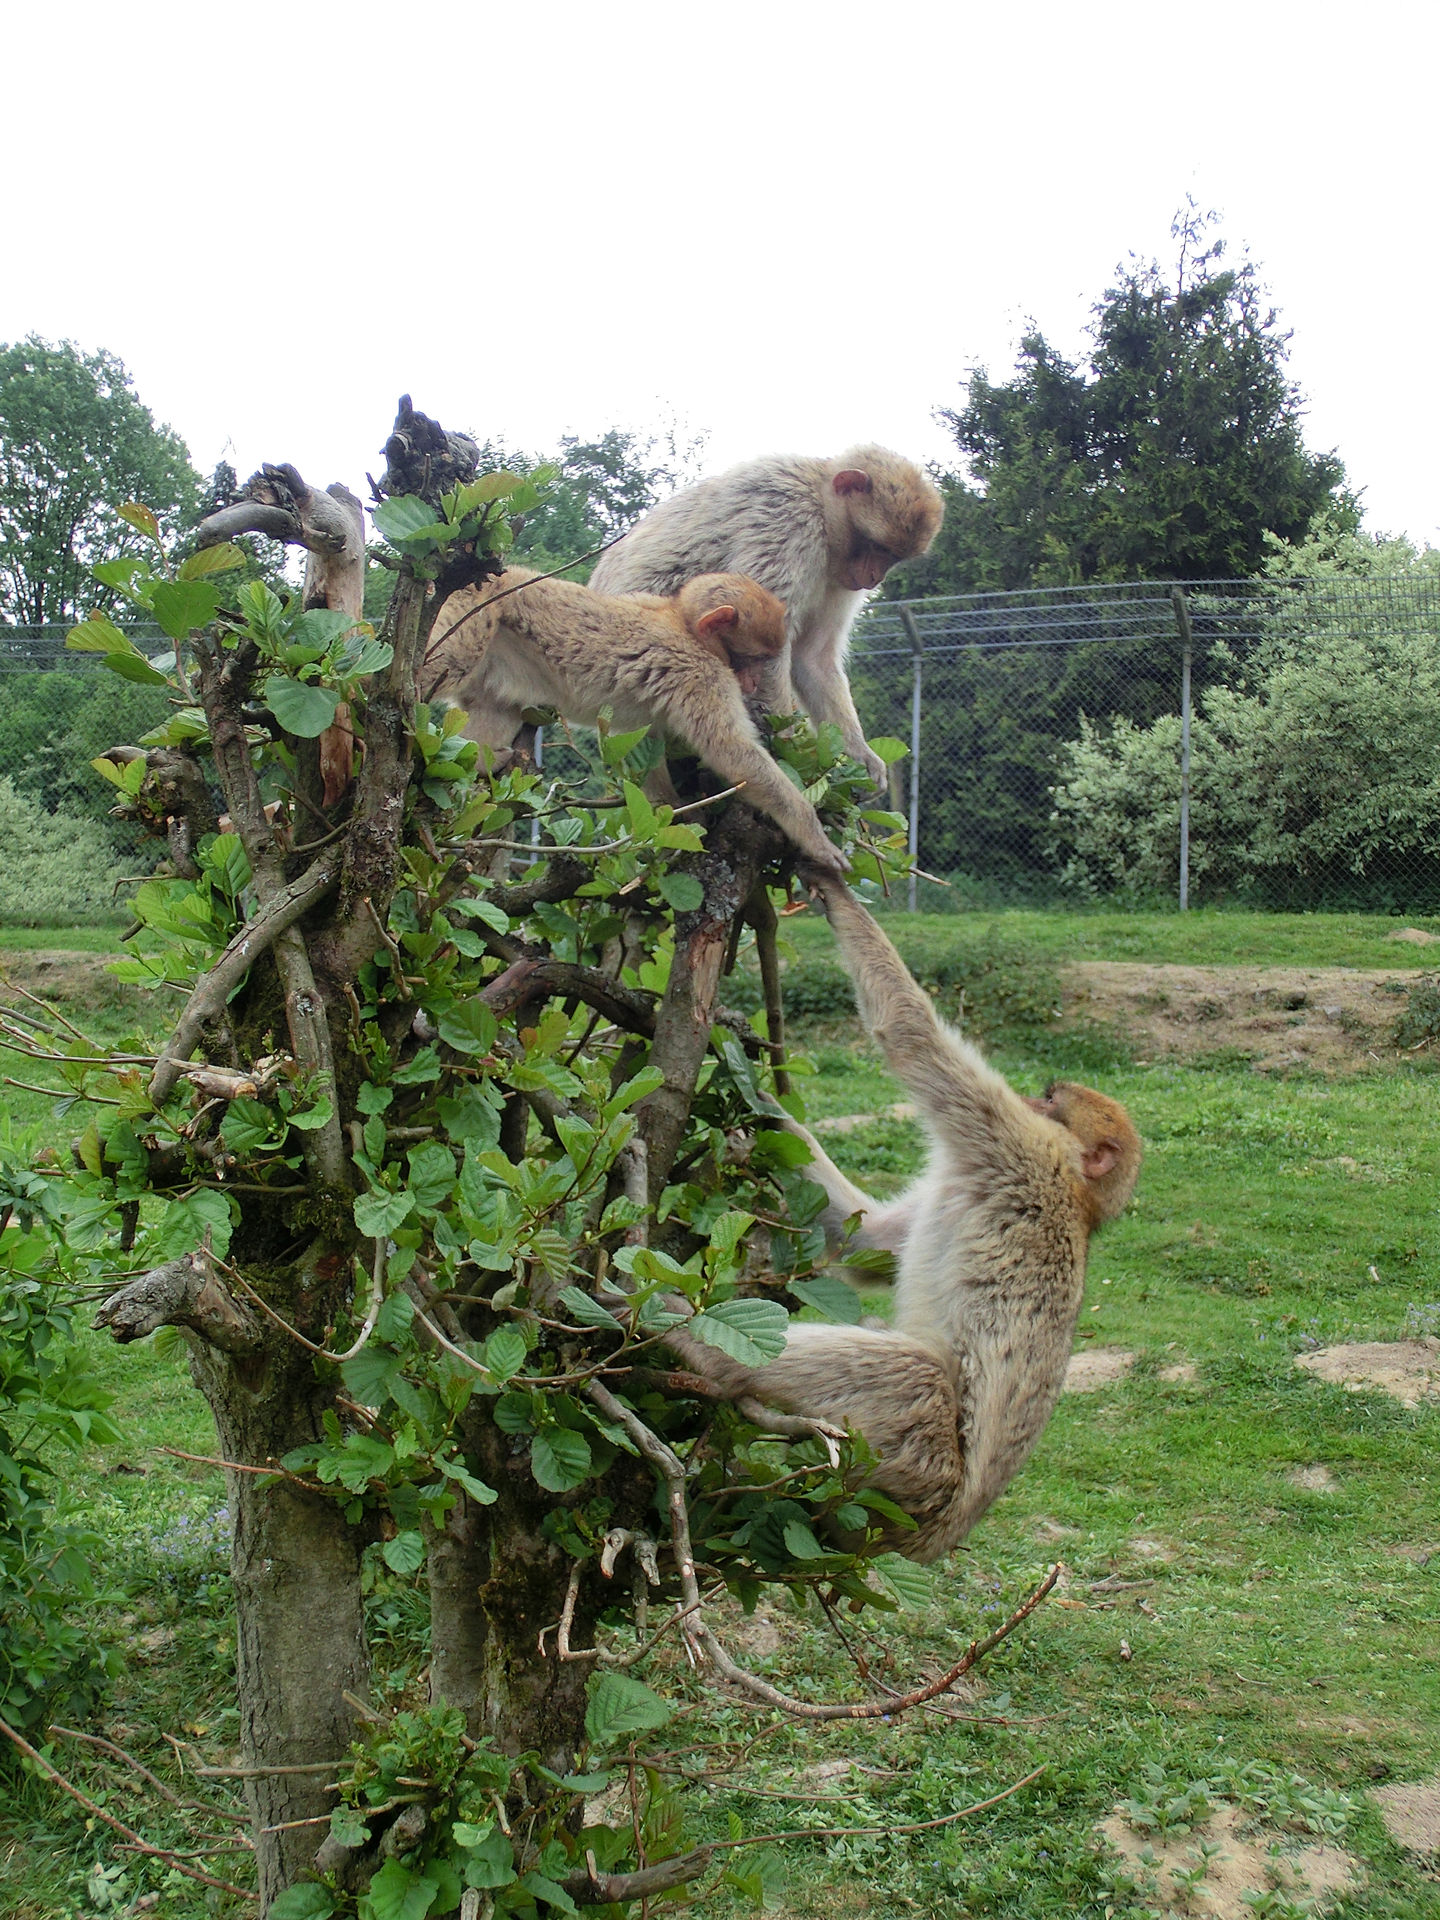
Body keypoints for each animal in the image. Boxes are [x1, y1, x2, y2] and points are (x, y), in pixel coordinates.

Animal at [423, 568, 848, 873]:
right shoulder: (703, 674)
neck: (684, 624)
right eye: (757, 658)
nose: (757, 681)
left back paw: (481, 759)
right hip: (475, 612)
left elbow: (644, 744)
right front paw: (813, 835)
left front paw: (676, 812)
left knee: (498, 704)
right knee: (445, 662)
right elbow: (731, 751)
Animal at [589, 448, 944, 788]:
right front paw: (787, 750)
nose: (874, 578)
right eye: (875, 546)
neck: (821, 507)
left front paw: (860, 754)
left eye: (891, 557)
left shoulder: (839, 577)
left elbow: (813, 657)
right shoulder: (790, 525)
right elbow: (767, 640)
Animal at [658, 873, 1141, 1563]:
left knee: (915, 1377)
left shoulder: (1014, 1139)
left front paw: (827, 878)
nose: (1029, 1094)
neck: (1077, 1187)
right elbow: (870, 1237)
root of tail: (933, 1538)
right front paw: (759, 1101)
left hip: (912, 1466)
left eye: (1050, 1099)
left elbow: (913, 1036)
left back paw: (693, 1341)